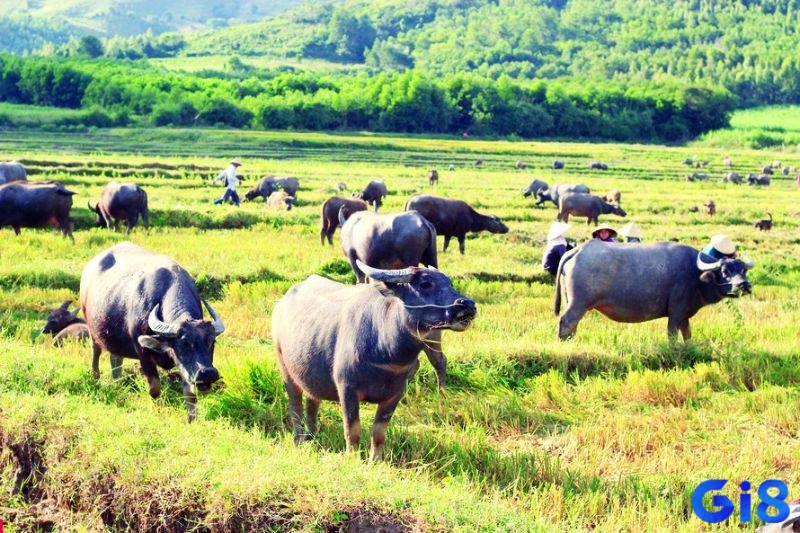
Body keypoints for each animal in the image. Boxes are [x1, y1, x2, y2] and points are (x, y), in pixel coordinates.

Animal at [81, 241, 223, 420]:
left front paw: (192, 419)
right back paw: (96, 378)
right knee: (96, 351)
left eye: (212, 342)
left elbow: (190, 393)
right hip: (91, 327)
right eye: (185, 343)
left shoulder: (186, 366)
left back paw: (118, 383)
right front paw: (158, 411)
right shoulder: (143, 352)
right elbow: (154, 388)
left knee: (116, 358)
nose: (208, 373)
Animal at [272, 260, 478, 460]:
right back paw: (299, 438)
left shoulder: (394, 395)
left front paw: (375, 460)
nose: (468, 305)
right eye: (425, 284)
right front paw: (352, 458)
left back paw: (313, 435)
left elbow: (379, 433)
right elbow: (352, 431)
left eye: (449, 283)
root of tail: (281, 304)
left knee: (312, 401)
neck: (386, 354)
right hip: (285, 368)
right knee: (295, 405)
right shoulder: (347, 390)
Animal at [552, 239, 752, 338]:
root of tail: (577, 251)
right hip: (579, 303)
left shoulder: (685, 315)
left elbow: (687, 334)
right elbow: (672, 334)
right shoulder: (676, 312)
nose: (744, 285)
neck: (695, 273)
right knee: (566, 322)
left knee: (572, 326)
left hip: (573, 303)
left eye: (743, 270)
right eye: (725, 271)